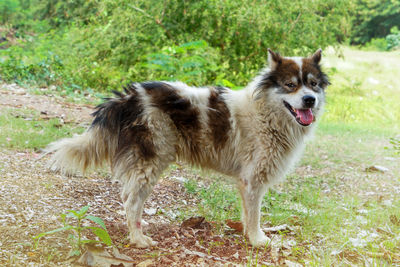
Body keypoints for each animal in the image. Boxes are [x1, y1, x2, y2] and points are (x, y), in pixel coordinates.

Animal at [46, 49, 328, 248]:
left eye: (313, 84)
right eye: (290, 85)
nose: (309, 100)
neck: (266, 114)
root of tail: (130, 96)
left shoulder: (247, 182)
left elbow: (247, 214)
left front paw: (249, 236)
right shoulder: (253, 180)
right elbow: (255, 215)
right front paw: (258, 240)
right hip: (151, 161)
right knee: (130, 201)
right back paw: (138, 239)